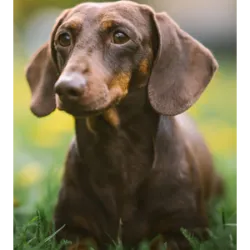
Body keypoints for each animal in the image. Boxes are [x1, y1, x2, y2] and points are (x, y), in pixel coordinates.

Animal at [25, 0, 225, 249]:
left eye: (120, 36)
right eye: (64, 38)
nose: (65, 88)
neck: (117, 151)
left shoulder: (184, 230)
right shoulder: (70, 229)